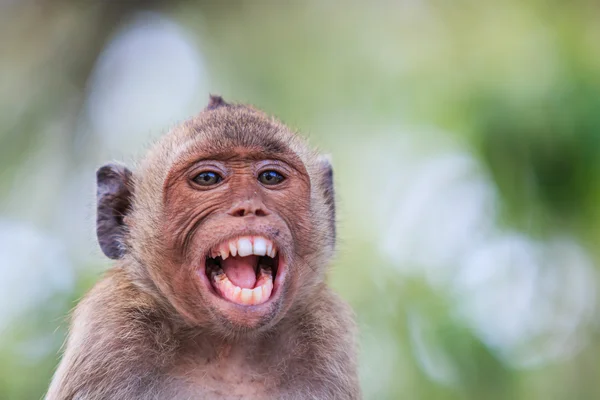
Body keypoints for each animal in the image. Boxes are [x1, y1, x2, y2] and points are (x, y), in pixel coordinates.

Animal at [45, 95, 360, 398]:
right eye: (207, 178)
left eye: (270, 177)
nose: (249, 208)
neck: (229, 350)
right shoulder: (107, 338)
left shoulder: (327, 340)